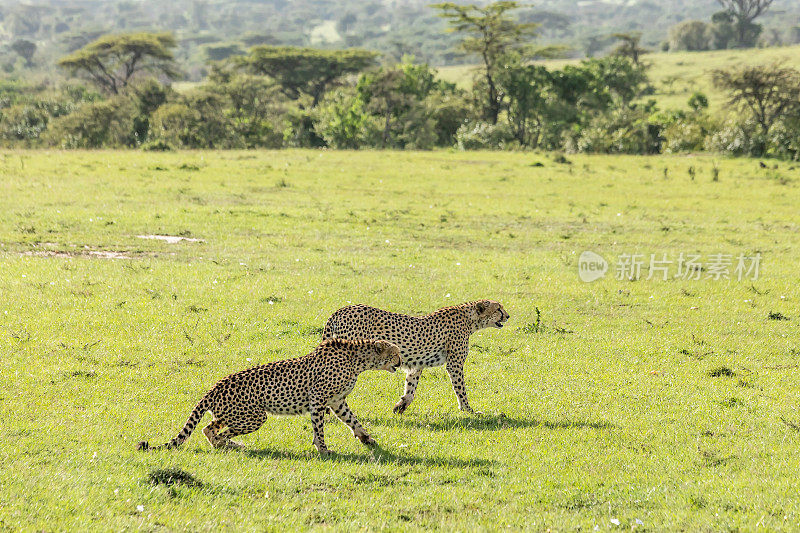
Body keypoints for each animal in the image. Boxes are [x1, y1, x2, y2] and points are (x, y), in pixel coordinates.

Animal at [138, 338, 404, 456]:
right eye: (395, 354)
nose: (401, 363)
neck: (359, 360)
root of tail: (215, 386)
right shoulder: (318, 399)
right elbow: (319, 427)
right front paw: (323, 449)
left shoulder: (337, 401)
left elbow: (353, 421)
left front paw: (367, 439)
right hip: (255, 416)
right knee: (217, 433)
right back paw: (234, 446)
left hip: (229, 414)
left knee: (208, 429)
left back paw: (230, 445)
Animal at [324, 300, 506, 416]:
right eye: (498, 309)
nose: (508, 316)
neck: (470, 319)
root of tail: (341, 310)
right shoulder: (454, 364)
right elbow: (460, 388)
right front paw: (468, 409)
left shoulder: (416, 364)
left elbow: (410, 388)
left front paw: (400, 406)